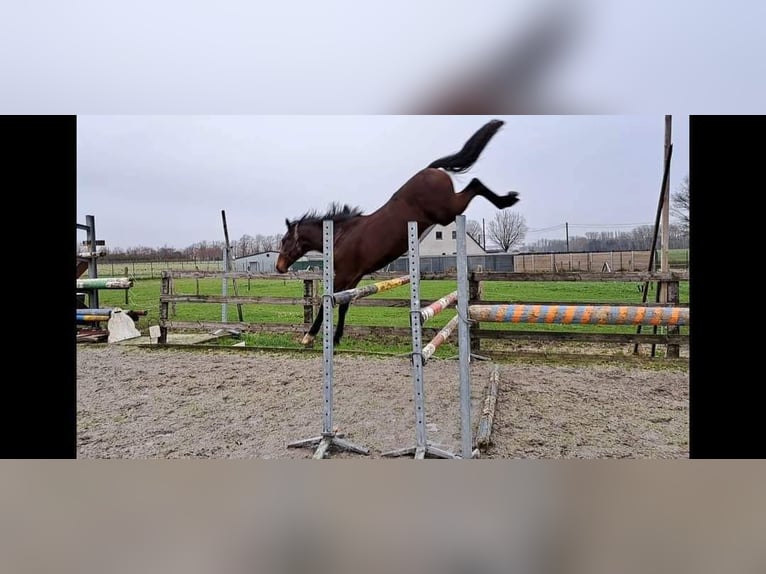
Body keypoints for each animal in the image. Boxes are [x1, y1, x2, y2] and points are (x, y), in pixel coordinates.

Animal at [276, 118, 520, 346]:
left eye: (286, 240)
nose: (279, 267)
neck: (339, 235)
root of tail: (430, 169)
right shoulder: (353, 277)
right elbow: (344, 305)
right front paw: (336, 338)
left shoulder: (343, 275)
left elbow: (327, 304)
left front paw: (309, 335)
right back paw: (509, 199)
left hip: (448, 212)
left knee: (475, 184)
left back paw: (507, 200)